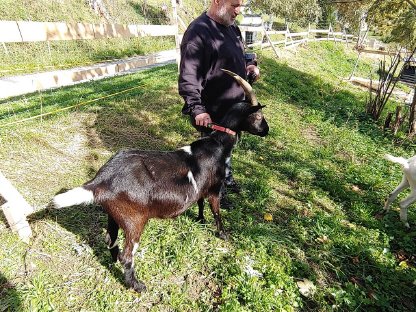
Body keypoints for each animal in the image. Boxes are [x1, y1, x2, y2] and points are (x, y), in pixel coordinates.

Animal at [51, 69, 270, 292]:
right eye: (259, 115)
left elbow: (199, 203)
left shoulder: (201, 188)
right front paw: (223, 234)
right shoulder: (215, 189)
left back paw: (113, 264)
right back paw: (137, 285)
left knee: (109, 240)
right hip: (134, 221)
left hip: (114, 215)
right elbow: (217, 212)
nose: (266, 130)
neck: (218, 144)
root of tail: (100, 181)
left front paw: (200, 220)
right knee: (127, 255)